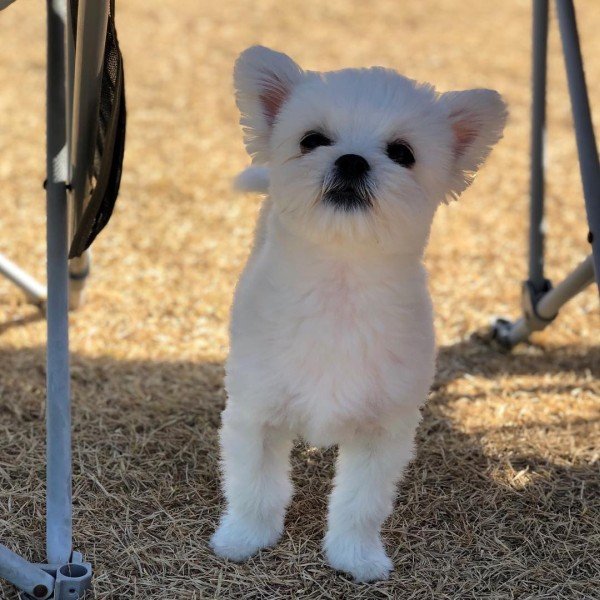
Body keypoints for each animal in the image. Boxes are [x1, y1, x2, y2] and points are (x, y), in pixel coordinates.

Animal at [211, 47, 506, 580]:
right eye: (311, 140)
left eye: (403, 153)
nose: (350, 160)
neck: (340, 284)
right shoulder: (256, 415)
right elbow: (255, 488)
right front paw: (245, 538)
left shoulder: (381, 433)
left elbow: (359, 504)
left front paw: (355, 556)